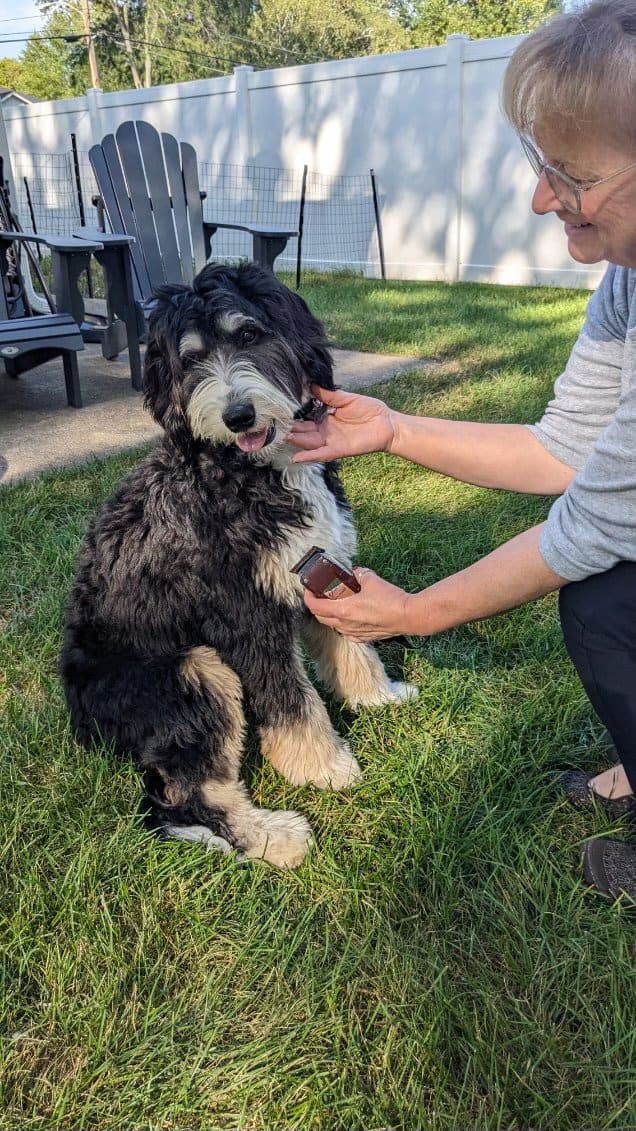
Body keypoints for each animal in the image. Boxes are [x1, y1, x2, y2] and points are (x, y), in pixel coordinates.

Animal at [60, 262, 416, 864]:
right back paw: (274, 836)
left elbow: (352, 648)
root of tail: (86, 727)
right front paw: (324, 768)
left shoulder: (316, 567)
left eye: (248, 334)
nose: (237, 414)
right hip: (192, 672)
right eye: (190, 360)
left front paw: (378, 696)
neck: (249, 471)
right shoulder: (245, 613)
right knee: (187, 796)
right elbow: (290, 700)